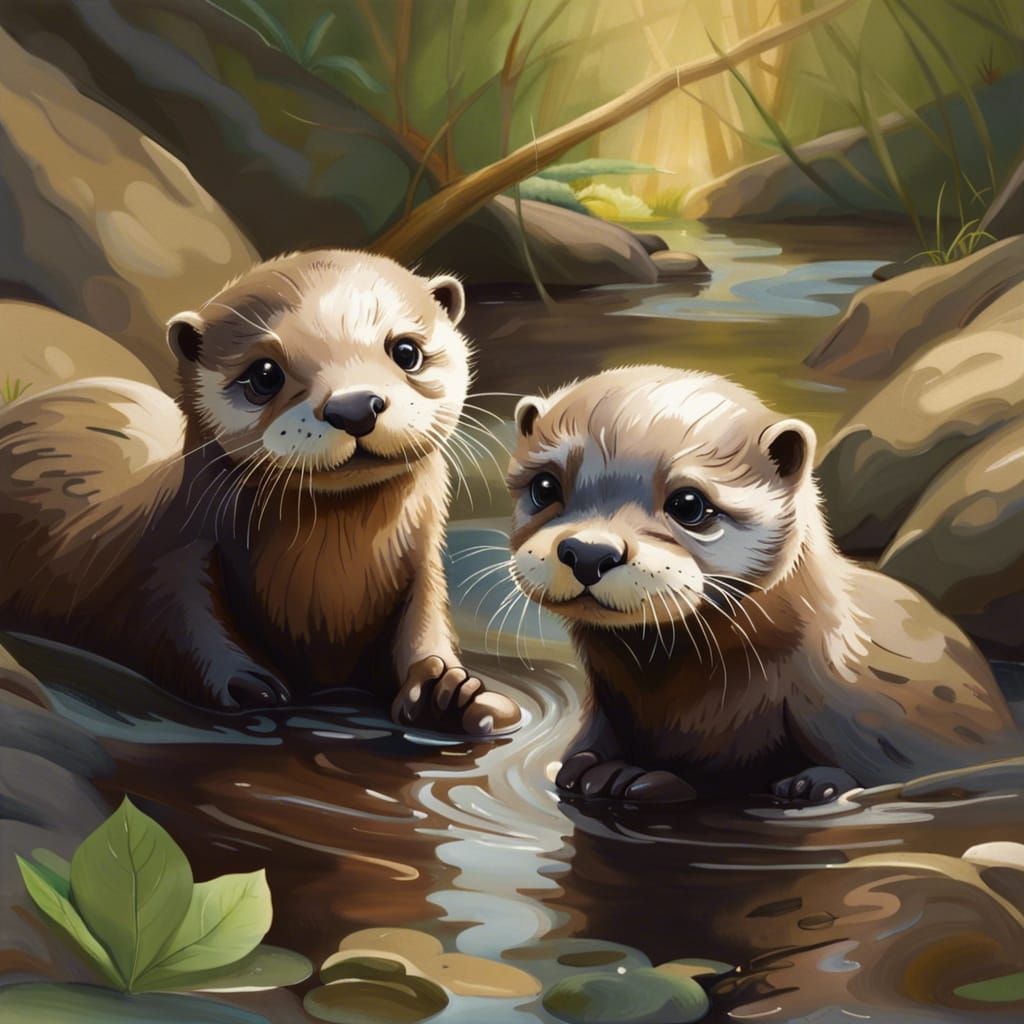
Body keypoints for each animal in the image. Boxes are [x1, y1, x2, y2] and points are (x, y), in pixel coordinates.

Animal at [0, 250, 520, 735]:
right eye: (265, 374)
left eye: (406, 350)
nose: (354, 407)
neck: (326, 593)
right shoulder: (172, 556)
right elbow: (182, 619)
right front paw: (246, 684)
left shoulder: (421, 570)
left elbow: (425, 629)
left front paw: (448, 691)